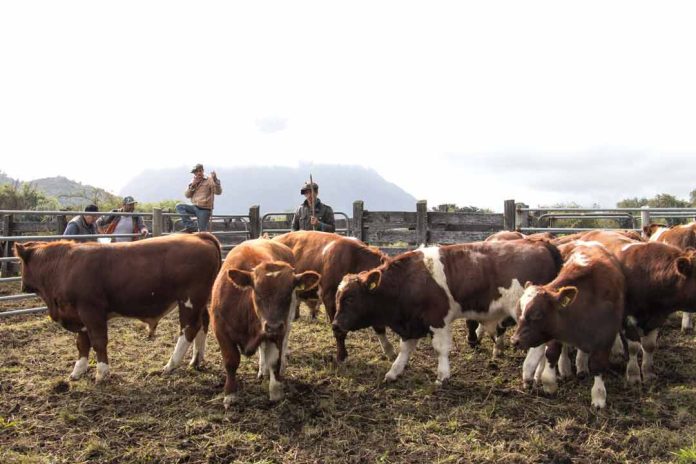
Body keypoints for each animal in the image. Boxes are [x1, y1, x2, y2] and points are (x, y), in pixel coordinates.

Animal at [14, 234, 220, 382]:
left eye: (20, 264)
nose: (22, 285)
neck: (64, 266)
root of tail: (198, 236)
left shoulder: (91, 310)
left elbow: (98, 341)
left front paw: (102, 373)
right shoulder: (78, 315)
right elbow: (82, 343)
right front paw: (78, 371)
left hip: (189, 300)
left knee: (188, 329)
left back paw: (171, 365)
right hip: (199, 301)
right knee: (203, 324)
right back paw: (196, 360)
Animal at [209, 239, 320, 406]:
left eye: (288, 293)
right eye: (258, 293)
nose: (272, 326)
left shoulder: (279, 329)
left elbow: (275, 360)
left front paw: (275, 392)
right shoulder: (221, 331)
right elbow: (231, 361)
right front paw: (230, 394)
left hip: (285, 324)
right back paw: (262, 370)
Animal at [272, 232, 394, 362]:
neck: (354, 258)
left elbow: (379, 327)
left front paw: (390, 352)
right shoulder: (329, 297)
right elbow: (339, 331)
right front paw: (341, 356)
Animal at [330, 239, 560, 384]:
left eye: (350, 298)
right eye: (338, 297)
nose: (335, 324)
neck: (408, 280)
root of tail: (541, 243)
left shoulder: (437, 318)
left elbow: (440, 349)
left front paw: (442, 375)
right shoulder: (411, 323)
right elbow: (405, 350)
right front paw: (394, 372)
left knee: (538, 346)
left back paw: (528, 374)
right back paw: (538, 376)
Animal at [512, 241, 624, 408]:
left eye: (537, 314)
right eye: (519, 311)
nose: (515, 341)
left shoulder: (606, 336)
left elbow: (597, 365)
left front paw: (598, 397)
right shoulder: (555, 331)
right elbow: (551, 354)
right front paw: (549, 384)